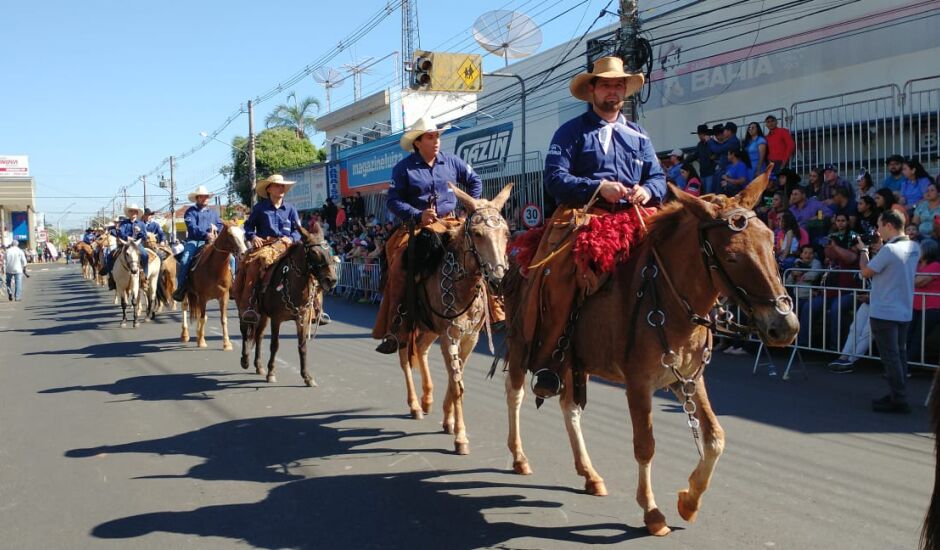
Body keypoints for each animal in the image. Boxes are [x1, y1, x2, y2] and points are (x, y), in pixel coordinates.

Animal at [239, 226, 338, 386]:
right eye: (314, 253)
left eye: (330, 251)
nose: (332, 280)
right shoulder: (276, 319)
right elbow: (275, 345)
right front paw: (271, 373)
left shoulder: (302, 319)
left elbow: (302, 346)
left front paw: (307, 376)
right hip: (249, 309)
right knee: (245, 330)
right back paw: (245, 360)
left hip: (264, 315)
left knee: (258, 335)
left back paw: (259, 366)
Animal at [396, 185, 516, 458]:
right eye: (477, 234)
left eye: (506, 233)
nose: (498, 280)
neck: (462, 285)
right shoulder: (449, 335)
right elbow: (457, 383)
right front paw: (461, 437)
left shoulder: (469, 337)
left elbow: (455, 381)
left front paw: (448, 421)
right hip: (403, 324)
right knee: (404, 356)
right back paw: (415, 404)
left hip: (430, 329)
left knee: (420, 348)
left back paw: (427, 399)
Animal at [504, 170, 796, 536]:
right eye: (731, 257)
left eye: (771, 242)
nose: (786, 326)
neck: (669, 300)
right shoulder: (638, 384)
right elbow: (645, 445)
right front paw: (652, 511)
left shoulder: (686, 379)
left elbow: (715, 438)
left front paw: (690, 501)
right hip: (521, 344)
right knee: (514, 396)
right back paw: (519, 457)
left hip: (571, 361)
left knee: (569, 408)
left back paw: (590, 474)